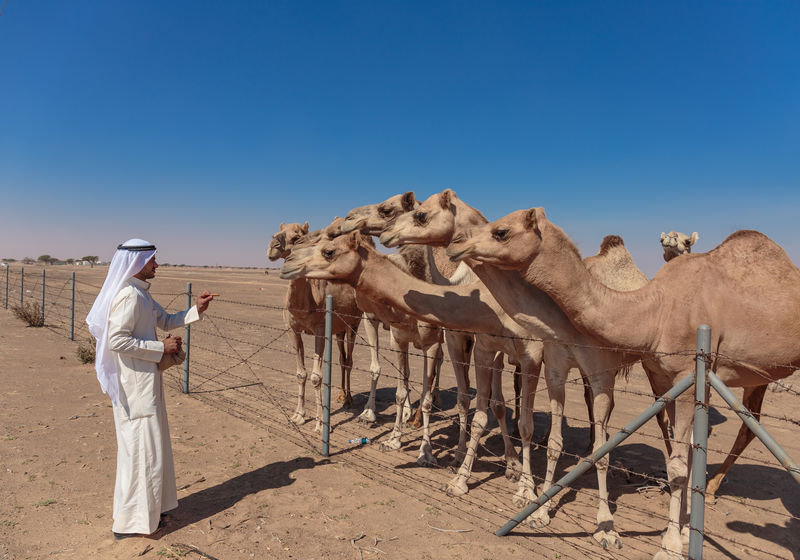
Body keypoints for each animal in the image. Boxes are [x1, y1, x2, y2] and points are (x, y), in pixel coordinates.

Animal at [268, 221, 362, 430]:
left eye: (296, 237)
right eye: (276, 233)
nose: (272, 247)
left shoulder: (320, 329)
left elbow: (316, 376)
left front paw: (320, 423)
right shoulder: (292, 330)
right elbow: (301, 374)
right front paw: (298, 415)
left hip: (354, 323)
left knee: (349, 360)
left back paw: (349, 400)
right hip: (338, 330)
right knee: (342, 358)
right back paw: (341, 396)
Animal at [450, 209, 800, 560]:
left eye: (501, 231)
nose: (456, 244)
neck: (655, 309)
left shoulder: (686, 375)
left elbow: (673, 464)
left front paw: (666, 543)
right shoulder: (653, 372)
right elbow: (674, 454)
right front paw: (540, 511)